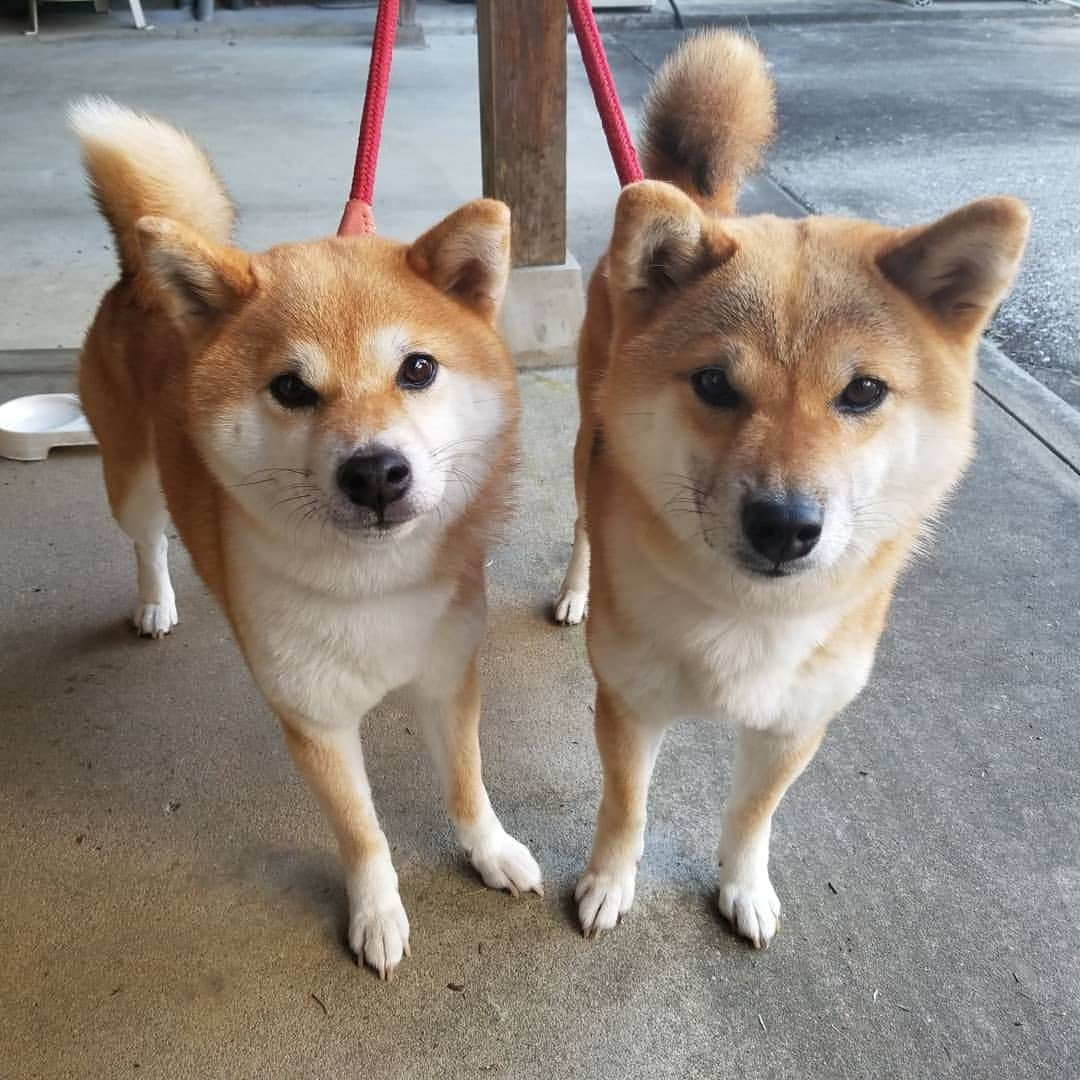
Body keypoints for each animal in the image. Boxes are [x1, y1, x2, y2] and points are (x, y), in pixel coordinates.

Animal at [71, 99, 540, 980]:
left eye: (418, 368)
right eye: (291, 388)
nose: (376, 472)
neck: (374, 587)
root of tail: (136, 273)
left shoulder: (448, 678)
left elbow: (467, 786)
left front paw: (489, 850)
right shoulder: (316, 722)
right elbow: (363, 834)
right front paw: (378, 913)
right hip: (132, 480)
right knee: (146, 539)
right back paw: (155, 602)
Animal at [557, 31, 1028, 946]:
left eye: (864, 392)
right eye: (713, 383)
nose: (783, 525)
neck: (750, 616)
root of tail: (702, 201)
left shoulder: (797, 722)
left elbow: (752, 816)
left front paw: (743, 887)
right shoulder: (629, 704)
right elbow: (626, 810)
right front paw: (608, 882)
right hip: (584, 439)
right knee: (584, 523)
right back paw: (575, 588)